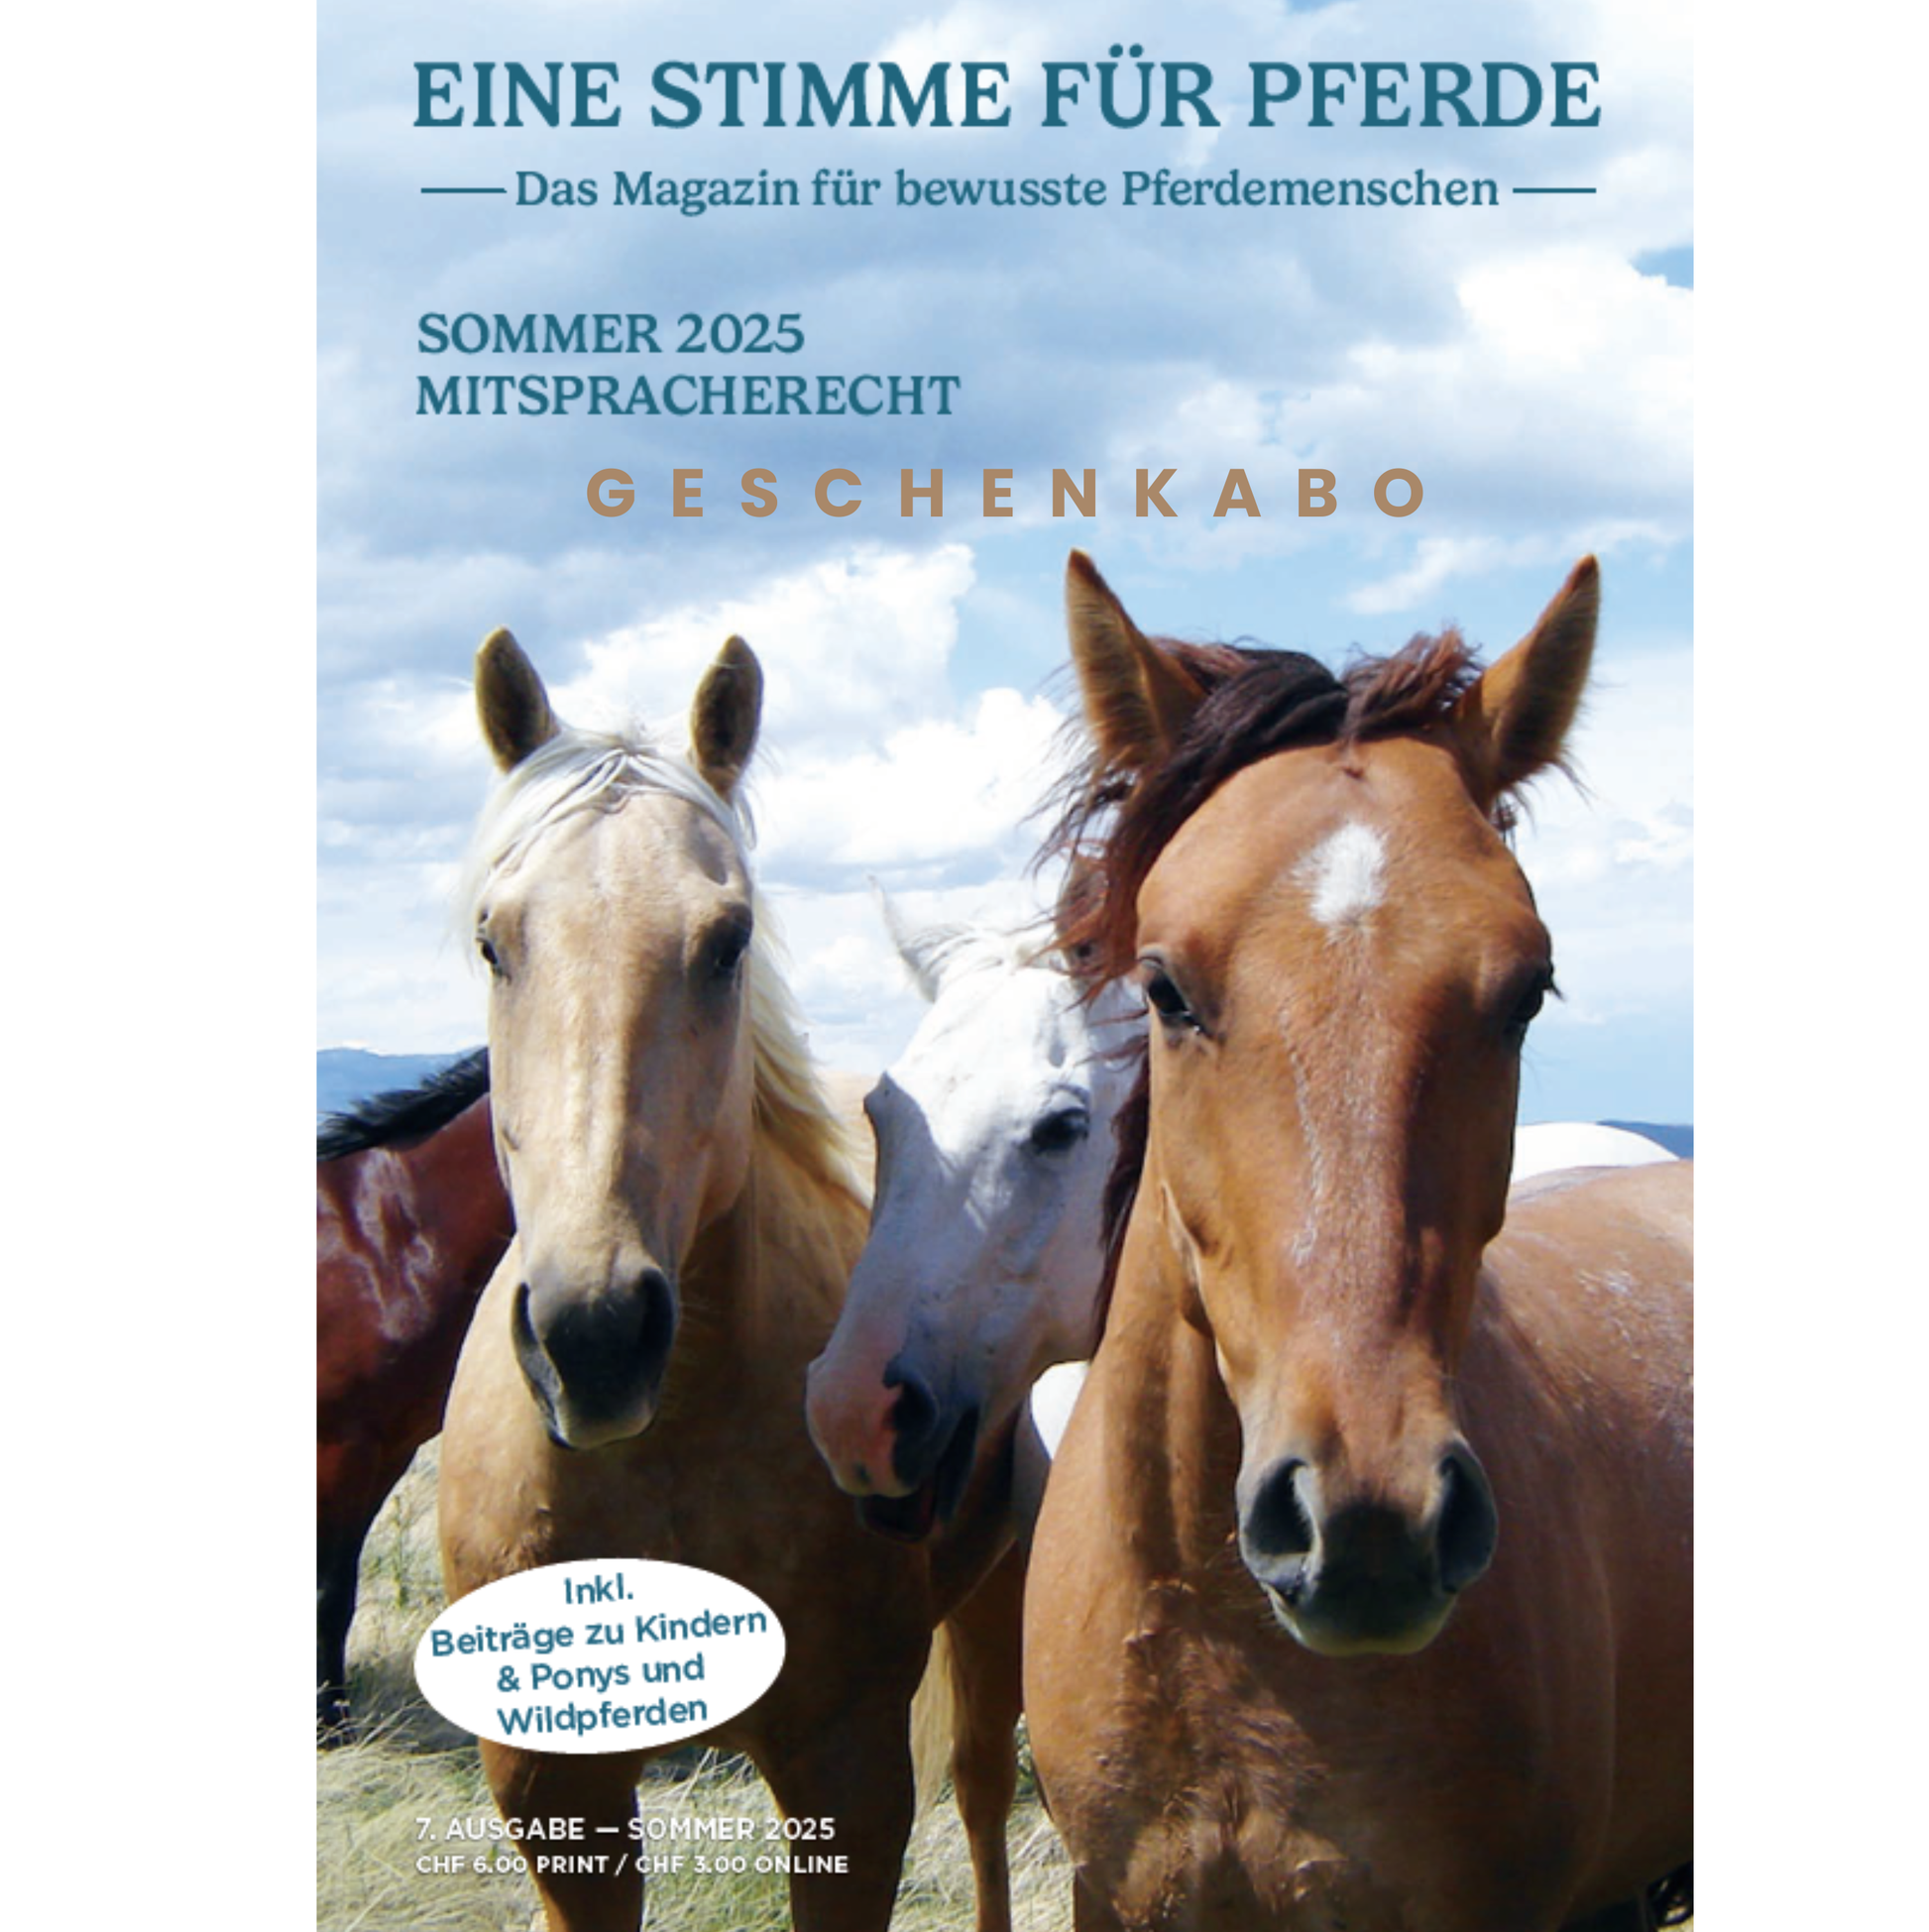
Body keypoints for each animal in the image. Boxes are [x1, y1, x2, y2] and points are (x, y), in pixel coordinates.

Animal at [435, 629, 1011, 1932]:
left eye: (727, 941)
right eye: (493, 940)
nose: (594, 1335)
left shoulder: (847, 1773)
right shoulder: (552, 1785)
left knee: (985, 1788)